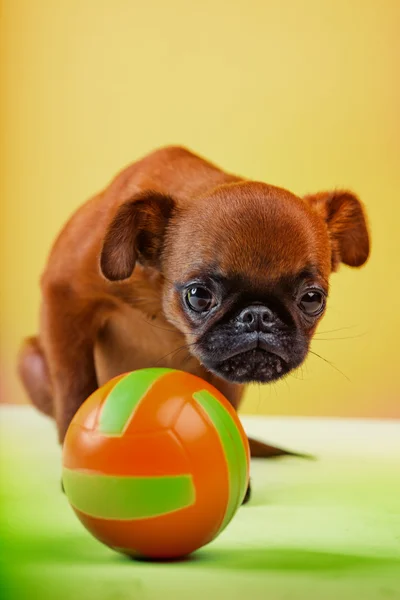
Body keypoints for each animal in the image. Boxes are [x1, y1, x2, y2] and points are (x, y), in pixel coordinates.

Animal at [18, 144, 368, 460]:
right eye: (199, 296)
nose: (258, 314)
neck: (155, 290)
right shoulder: (65, 299)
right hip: (30, 359)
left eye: (312, 299)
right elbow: (74, 385)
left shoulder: (228, 379)